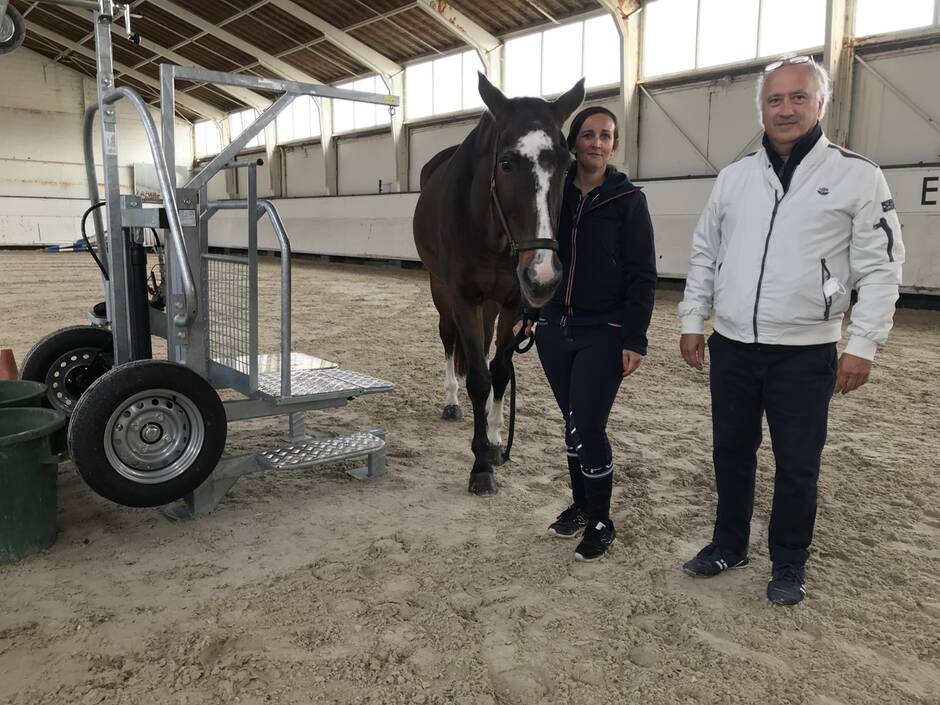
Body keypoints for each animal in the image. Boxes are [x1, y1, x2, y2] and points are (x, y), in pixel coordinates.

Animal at [414, 70, 584, 490]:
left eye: (568, 165)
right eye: (506, 163)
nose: (543, 275)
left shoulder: (511, 302)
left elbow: (501, 372)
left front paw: (493, 442)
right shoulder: (462, 297)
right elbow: (478, 376)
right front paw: (480, 466)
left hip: (491, 303)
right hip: (440, 288)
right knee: (448, 339)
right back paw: (451, 401)